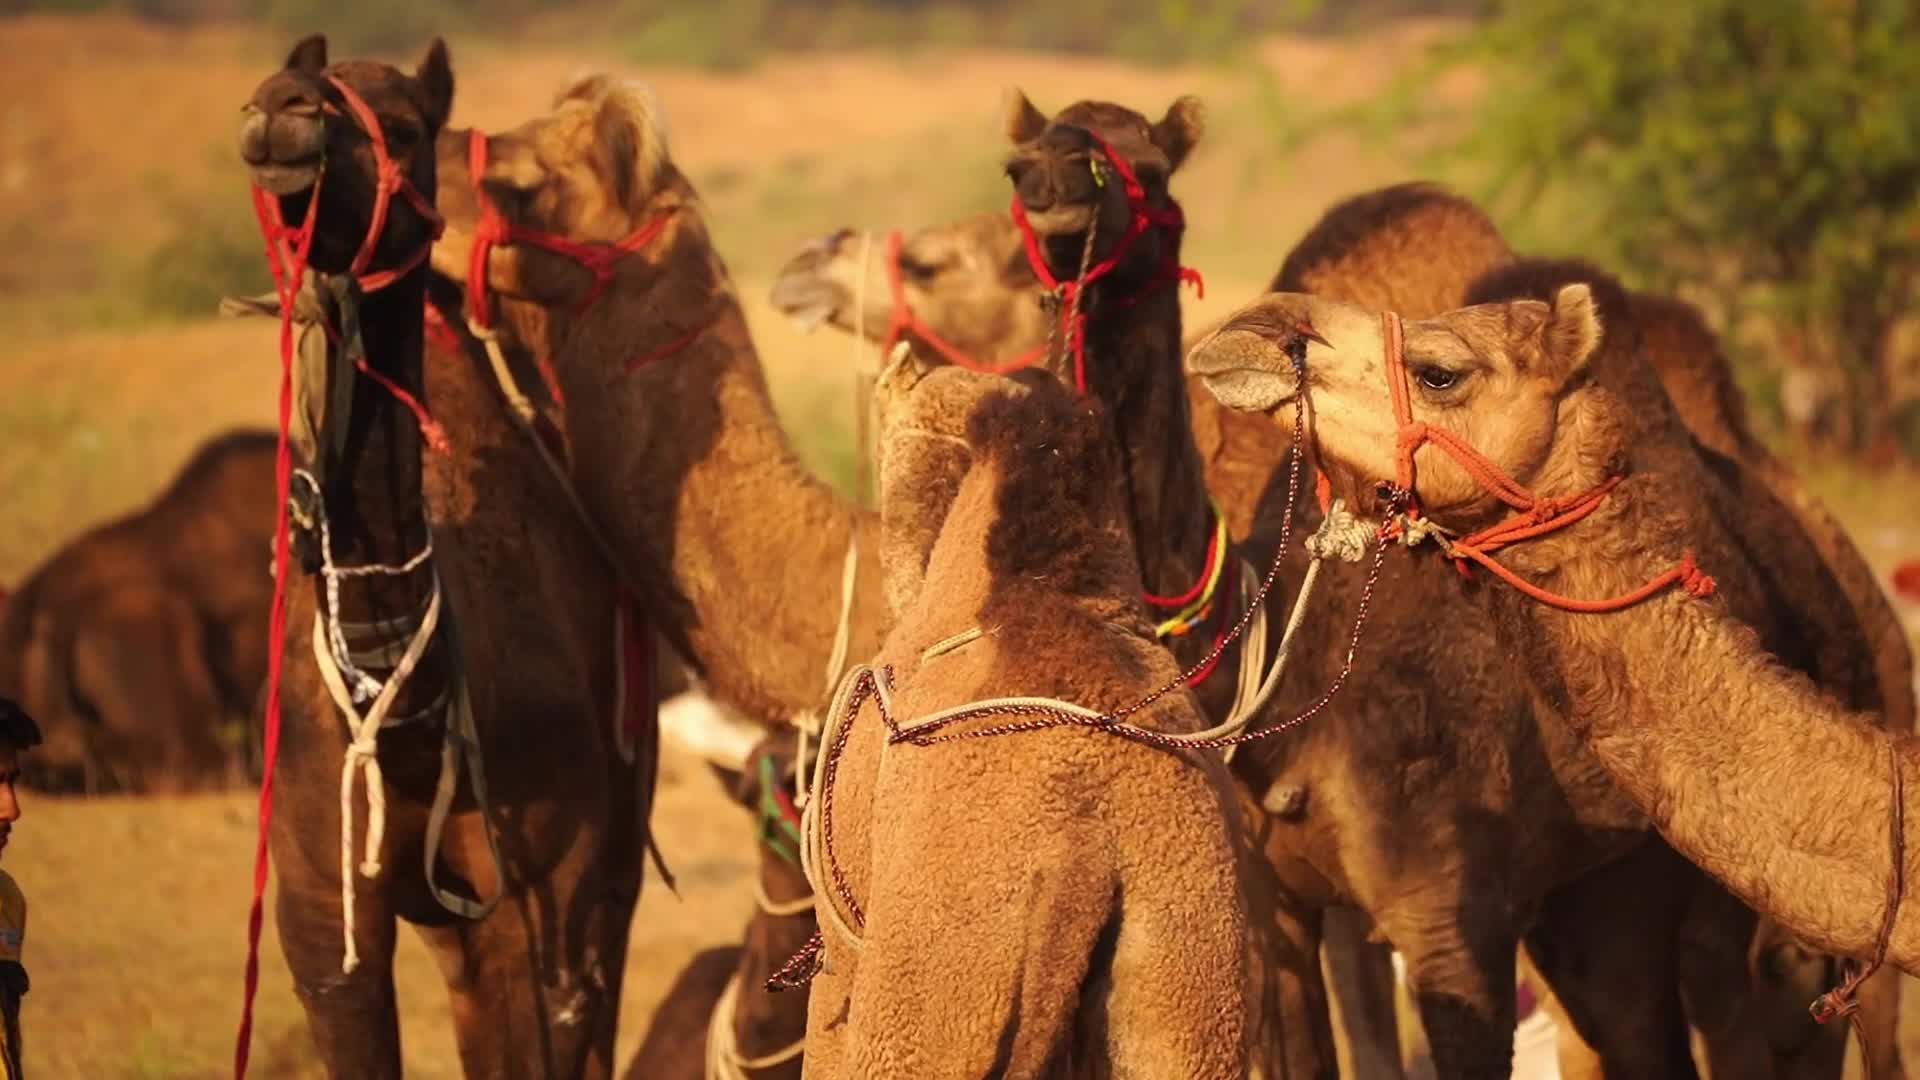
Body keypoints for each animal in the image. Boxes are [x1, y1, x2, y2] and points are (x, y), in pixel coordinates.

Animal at [239, 37, 646, 1077]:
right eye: (291, 84)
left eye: (406, 121)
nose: (280, 109)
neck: (410, 710)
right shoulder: (323, 916)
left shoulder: (542, 895)